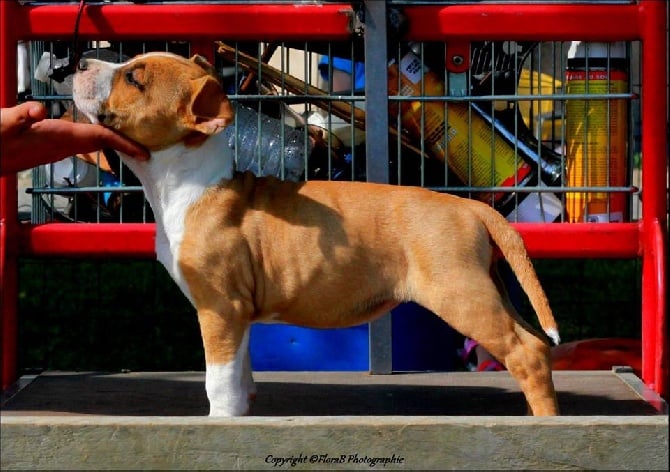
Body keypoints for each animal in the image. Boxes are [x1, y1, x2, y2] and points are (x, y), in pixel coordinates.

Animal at [73, 52, 560, 416]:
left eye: (134, 78)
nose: (78, 62)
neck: (188, 180)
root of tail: (470, 205)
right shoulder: (239, 312)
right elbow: (241, 374)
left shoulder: (220, 307)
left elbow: (219, 381)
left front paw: (220, 421)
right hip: (487, 287)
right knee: (536, 344)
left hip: (461, 292)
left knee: (526, 354)